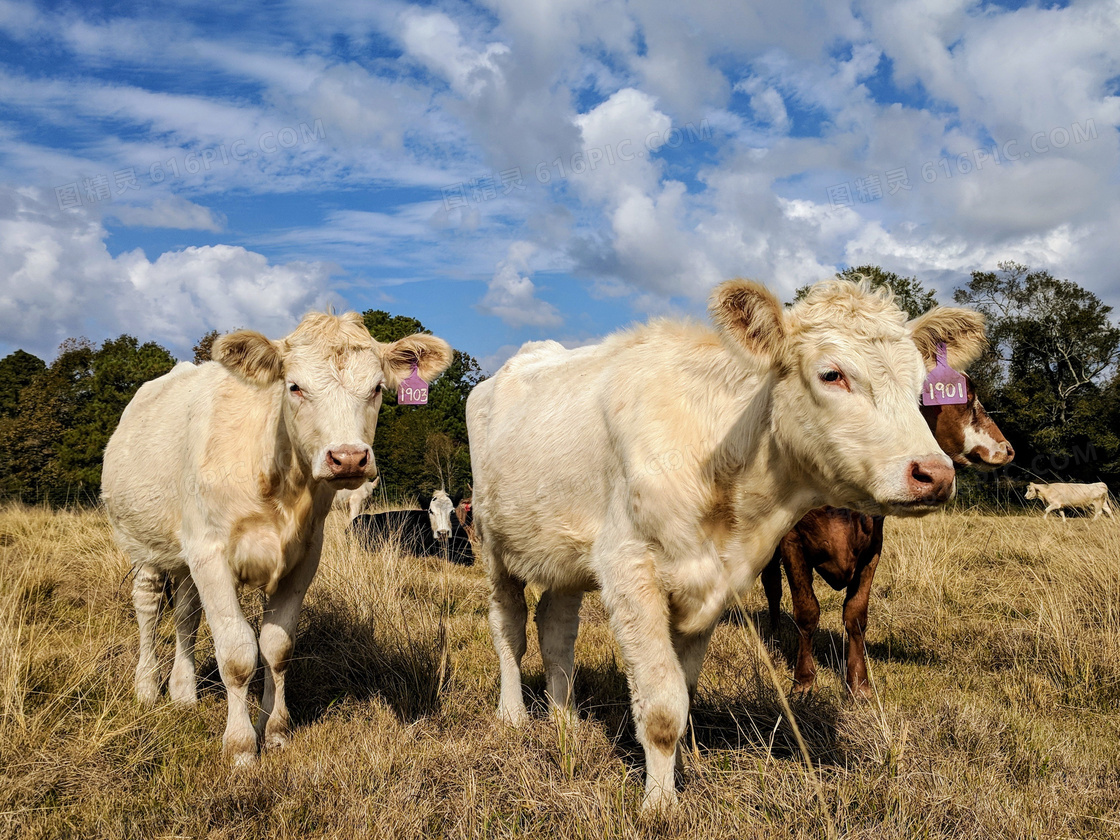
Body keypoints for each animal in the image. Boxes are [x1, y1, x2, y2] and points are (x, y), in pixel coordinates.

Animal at [101, 313, 450, 766]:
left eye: (376, 388)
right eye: (294, 386)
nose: (349, 458)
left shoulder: (303, 557)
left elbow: (277, 647)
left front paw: (277, 731)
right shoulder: (211, 554)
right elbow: (236, 654)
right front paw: (241, 746)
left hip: (185, 557)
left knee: (186, 615)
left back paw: (183, 692)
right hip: (142, 543)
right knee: (147, 607)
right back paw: (146, 686)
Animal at [468, 277, 985, 810]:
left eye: (919, 385)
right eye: (832, 374)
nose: (935, 473)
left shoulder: (712, 583)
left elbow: (685, 691)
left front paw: (677, 772)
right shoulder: (630, 571)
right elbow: (662, 706)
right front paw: (660, 805)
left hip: (565, 557)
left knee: (556, 630)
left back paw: (565, 721)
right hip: (492, 542)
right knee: (509, 627)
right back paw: (513, 716)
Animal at [761, 376, 1016, 703]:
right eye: (967, 398)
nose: (1007, 448)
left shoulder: (873, 548)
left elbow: (856, 615)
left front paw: (859, 684)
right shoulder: (793, 544)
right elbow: (806, 612)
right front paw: (803, 682)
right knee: (772, 587)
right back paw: (773, 636)